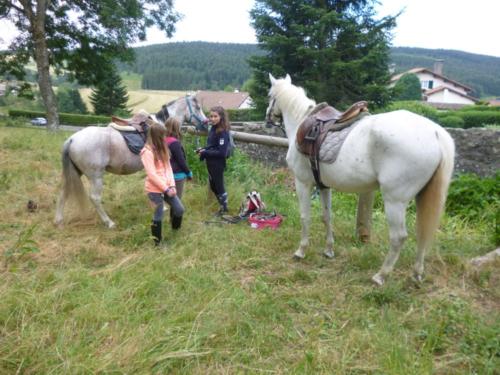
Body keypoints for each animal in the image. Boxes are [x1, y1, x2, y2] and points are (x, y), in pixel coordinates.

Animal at [55, 95, 208, 228]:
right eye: (198, 107)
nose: (206, 124)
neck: (162, 125)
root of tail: (72, 139)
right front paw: (164, 206)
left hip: (76, 172)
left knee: (64, 191)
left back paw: (59, 221)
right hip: (96, 177)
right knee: (95, 198)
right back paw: (109, 222)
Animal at [268, 72, 456, 284]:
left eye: (269, 95)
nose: (268, 118)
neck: (302, 120)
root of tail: (435, 133)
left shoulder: (303, 183)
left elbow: (304, 216)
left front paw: (301, 251)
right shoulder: (324, 186)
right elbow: (326, 216)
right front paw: (329, 250)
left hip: (395, 201)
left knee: (399, 237)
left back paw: (381, 276)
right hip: (422, 197)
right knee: (422, 233)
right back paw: (416, 274)